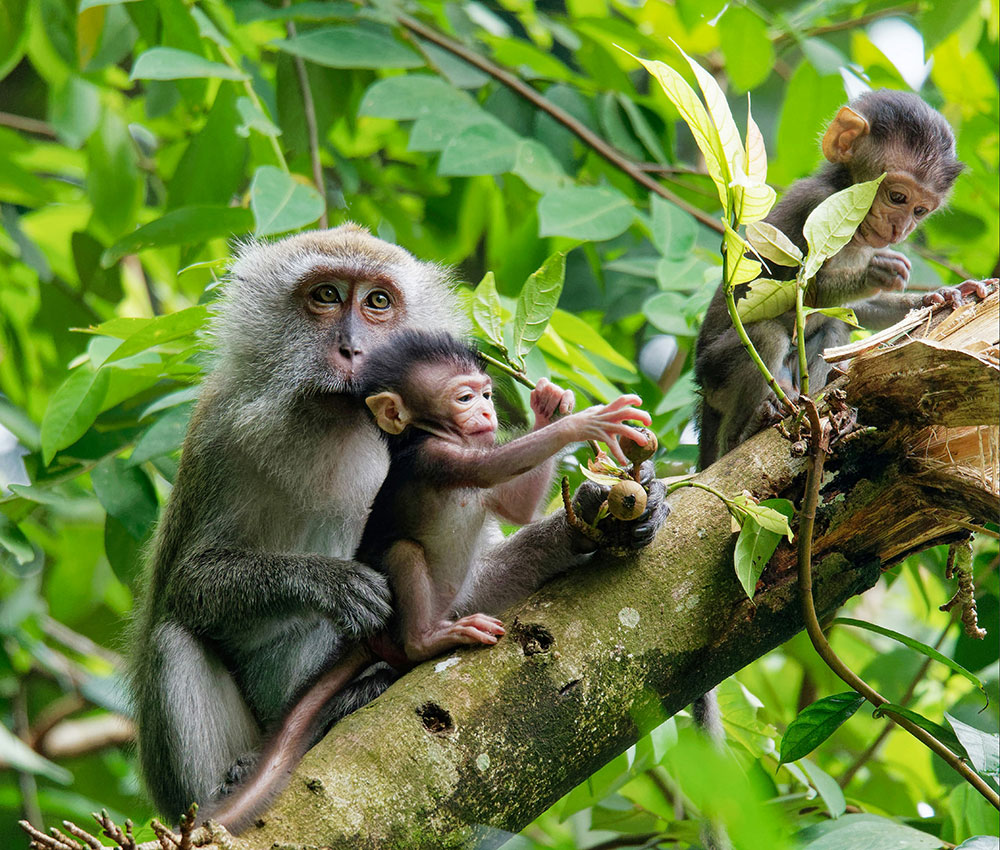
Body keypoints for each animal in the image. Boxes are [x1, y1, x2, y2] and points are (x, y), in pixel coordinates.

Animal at [355, 331, 652, 662]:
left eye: (485, 395)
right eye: (465, 398)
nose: (487, 411)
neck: (432, 433)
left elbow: (517, 508)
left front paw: (549, 408)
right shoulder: (432, 456)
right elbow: (490, 468)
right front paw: (585, 422)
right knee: (403, 551)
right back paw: (425, 641)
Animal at [695, 89, 985, 470]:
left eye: (920, 211)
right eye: (897, 197)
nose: (901, 229)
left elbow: (851, 311)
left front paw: (938, 296)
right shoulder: (815, 207)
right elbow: (801, 291)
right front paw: (873, 274)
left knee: (833, 328)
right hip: (714, 372)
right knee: (767, 336)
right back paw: (742, 434)